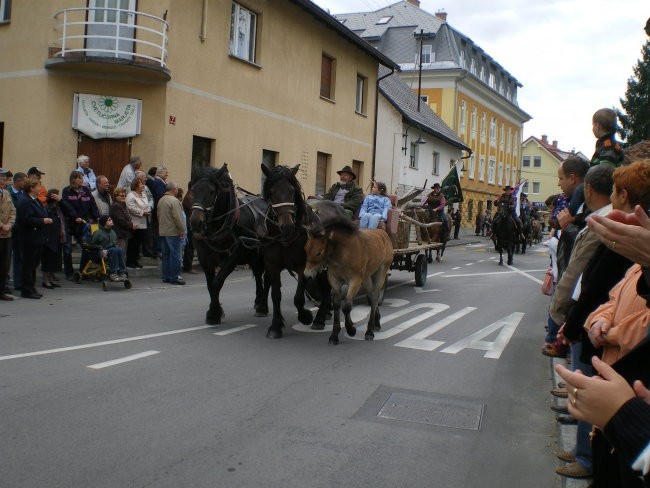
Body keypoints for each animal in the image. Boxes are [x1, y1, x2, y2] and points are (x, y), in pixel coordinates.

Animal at [187, 164, 268, 324]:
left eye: (212, 192)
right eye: (193, 190)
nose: (195, 222)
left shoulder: (234, 255)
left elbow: (217, 282)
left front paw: (213, 313)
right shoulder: (205, 258)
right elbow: (210, 285)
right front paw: (215, 312)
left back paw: (263, 306)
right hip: (254, 256)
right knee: (258, 274)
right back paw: (258, 301)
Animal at [258, 164, 342, 340]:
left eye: (292, 191)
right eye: (271, 192)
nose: (287, 226)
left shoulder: (304, 266)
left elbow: (298, 298)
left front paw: (305, 316)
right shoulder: (272, 266)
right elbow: (276, 295)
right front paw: (275, 326)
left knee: (328, 288)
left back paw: (319, 318)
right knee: (325, 288)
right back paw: (324, 314)